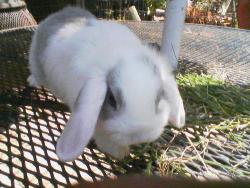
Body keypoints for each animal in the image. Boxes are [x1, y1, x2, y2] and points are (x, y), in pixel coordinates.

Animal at [28, 6, 186, 162]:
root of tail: (60, 13)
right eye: (111, 99)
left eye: (160, 97)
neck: (121, 55)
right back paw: (32, 81)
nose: (139, 134)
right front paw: (120, 153)